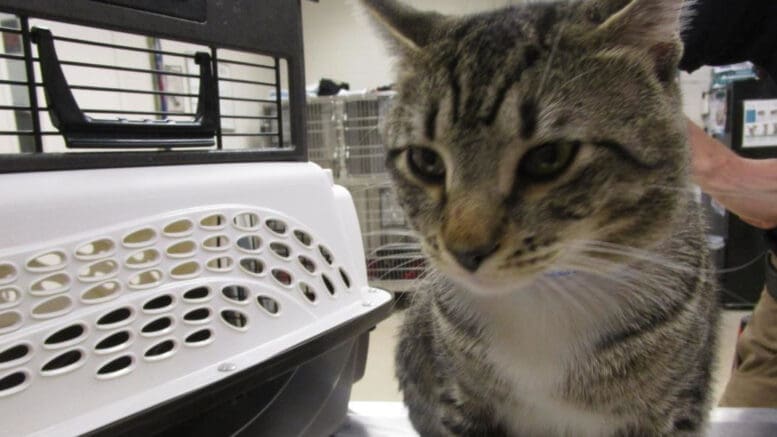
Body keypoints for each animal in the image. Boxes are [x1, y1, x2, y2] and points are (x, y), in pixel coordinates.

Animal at [360, 0, 720, 434]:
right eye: (425, 161)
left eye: (549, 157)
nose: (465, 251)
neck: (547, 296)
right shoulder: (460, 402)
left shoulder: (673, 409)